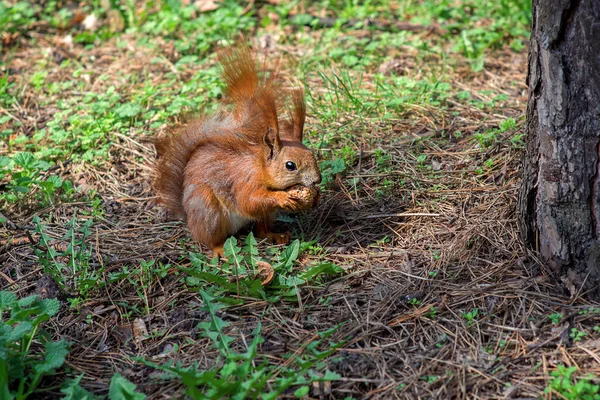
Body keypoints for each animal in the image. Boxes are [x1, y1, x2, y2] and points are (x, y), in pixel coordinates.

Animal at [152, 40, 322, 258]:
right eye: (290, 165)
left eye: (312, 154)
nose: (317, 180)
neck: (261, 169)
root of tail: (188, 216)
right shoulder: (244, 180)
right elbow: (248, 200)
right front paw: (282, 197)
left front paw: (316, 197)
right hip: (207, 210)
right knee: (208, 239)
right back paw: (219, 249)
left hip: (265, 215)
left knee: (260, 231)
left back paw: (275, 235)